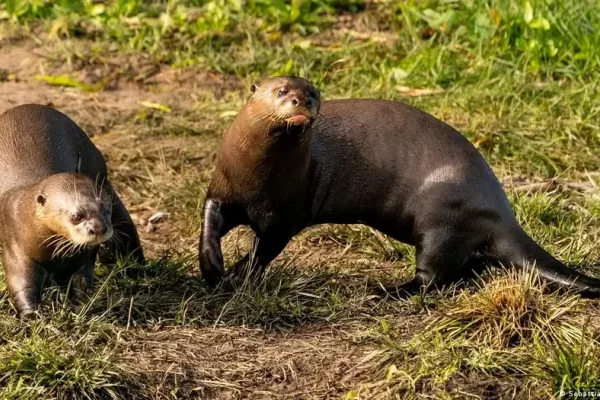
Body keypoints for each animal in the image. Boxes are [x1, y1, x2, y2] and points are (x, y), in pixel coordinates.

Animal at [0, 104, 145, 318]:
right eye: (76, 216)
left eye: (105, 211)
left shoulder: (83, 254)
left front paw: (82, 301)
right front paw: (32, 315)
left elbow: (81, 276)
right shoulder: (16, 245)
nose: (98, 229)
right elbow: (22, 283)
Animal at [200, 76, 600, 296]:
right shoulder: (224, 188)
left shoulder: (286, 214)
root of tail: (502, 212)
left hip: (442, 216)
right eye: (282, 90)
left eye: (313, 91)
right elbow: (209, 220)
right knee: (467, 270)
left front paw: (235, 275)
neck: (255, 177)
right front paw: (211, 267)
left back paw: (385, 291)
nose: (302, 100)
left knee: (433, 277)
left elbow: (264, 250)